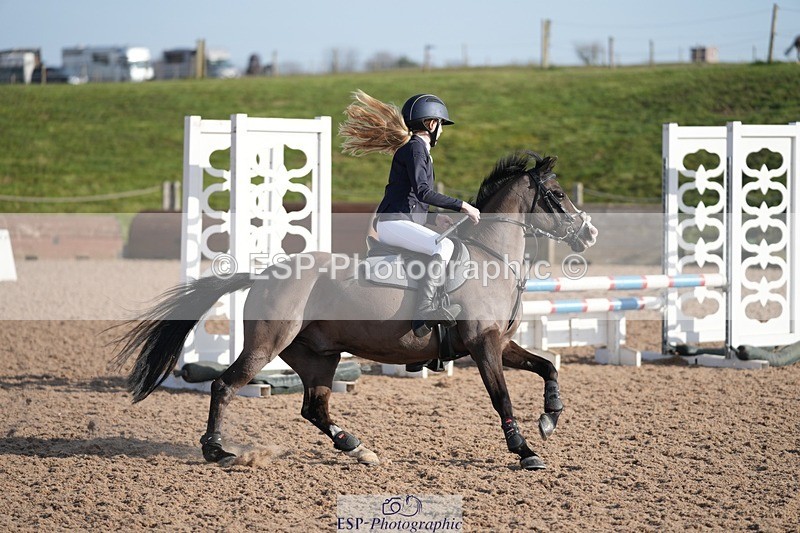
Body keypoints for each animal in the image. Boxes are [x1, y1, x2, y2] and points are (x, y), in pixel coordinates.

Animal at [112, 151, 598, 470]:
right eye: (557, 194)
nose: (589, 234)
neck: (488, 256)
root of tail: (267, 273)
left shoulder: (499, 342)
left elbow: (547, 366)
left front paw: (550, 418)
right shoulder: (483, 345)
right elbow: (502, 397)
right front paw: (525, 450)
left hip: (318, 356)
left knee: (314, 408)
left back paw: (357, 447)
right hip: (268, 343)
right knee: (224, 385)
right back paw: (217, 450)